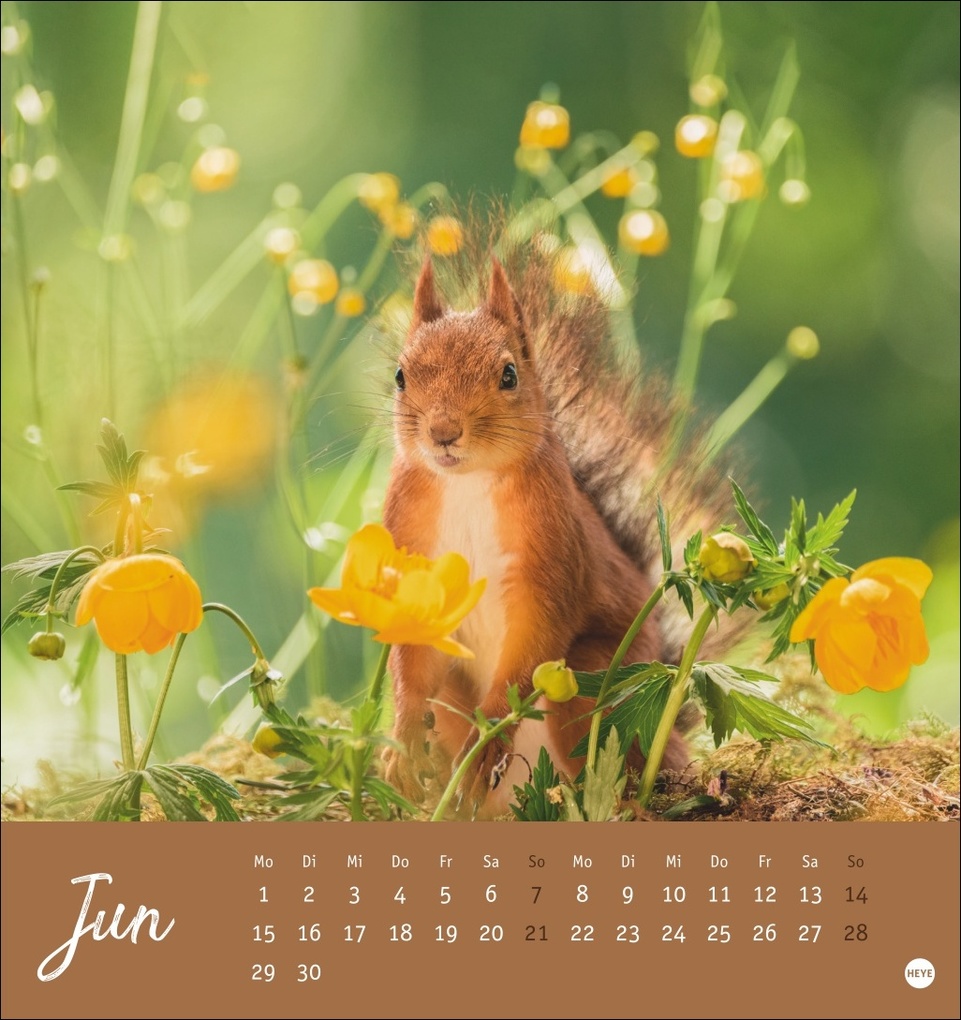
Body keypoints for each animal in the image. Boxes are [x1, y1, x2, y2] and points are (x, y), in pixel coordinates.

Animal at [381, 237, 728, 816]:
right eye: (401, 376)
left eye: (509, 374)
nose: (444, 432)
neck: (468, 484)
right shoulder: (411, 545)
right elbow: (411, 650)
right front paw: (402, 742)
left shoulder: (551, 558)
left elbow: (534, 639)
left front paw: (490, 736)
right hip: (454, 694)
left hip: (594, 685)